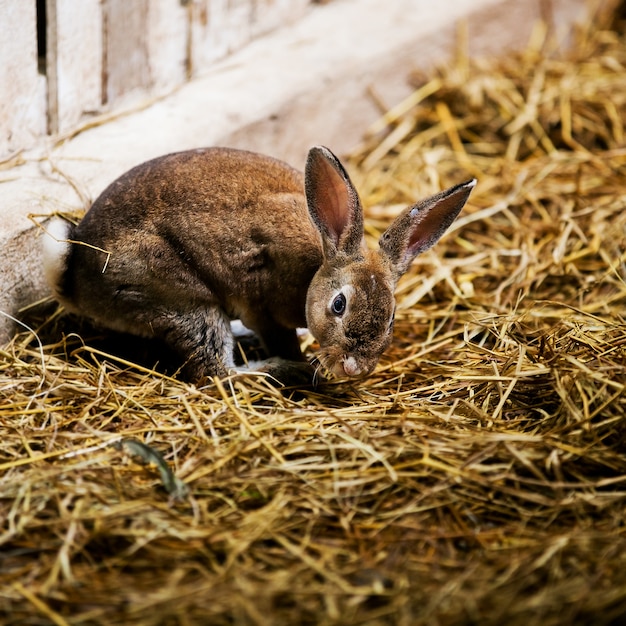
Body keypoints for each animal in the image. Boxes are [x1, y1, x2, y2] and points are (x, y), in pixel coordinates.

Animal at [42, 144, 472, 382]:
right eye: (339, 305)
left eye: (392, 316)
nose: (354, 368)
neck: (319, 261)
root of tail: (76, 283)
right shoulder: (265, 311)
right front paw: (300, 362)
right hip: (184, 301)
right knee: (216, 373)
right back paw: (278, 369)